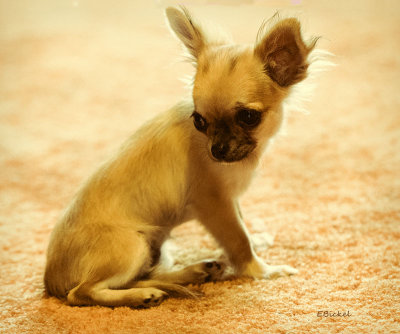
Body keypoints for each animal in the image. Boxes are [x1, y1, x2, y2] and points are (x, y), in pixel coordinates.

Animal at [43, 6, 318, 308]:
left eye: (248, 117)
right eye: (199, 121)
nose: (216, 150)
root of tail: (51, 282)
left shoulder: (229, 199)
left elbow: (242, 222)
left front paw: (256, 241)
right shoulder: (213, 203)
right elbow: (238, 239)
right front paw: (263, 270)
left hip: (155, 247)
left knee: (145, 276)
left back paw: (194, 272)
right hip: (131, 246)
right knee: (83, 292)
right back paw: (143, 295)